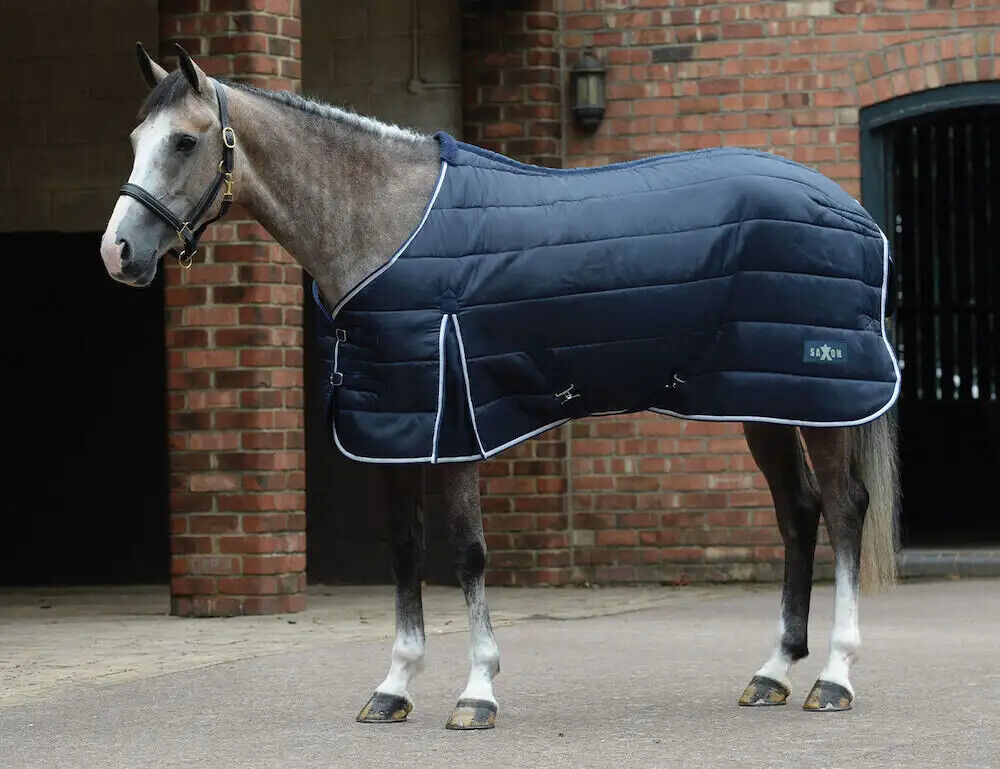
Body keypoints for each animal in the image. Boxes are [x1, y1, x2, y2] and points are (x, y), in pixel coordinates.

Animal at [101, 44, 900, 729]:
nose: (118, 252)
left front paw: (477, 691)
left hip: (824, 397)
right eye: (135, 136)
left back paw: (834, 678)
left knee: (842, 510)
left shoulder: (453, 421)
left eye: (184, 142)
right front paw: (393, 687)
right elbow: (404, 550)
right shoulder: (395, 426)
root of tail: (850, 210)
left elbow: (466, 552)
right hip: (765, 397)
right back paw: (773, 673)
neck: (386, 226)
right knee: (797, 514)